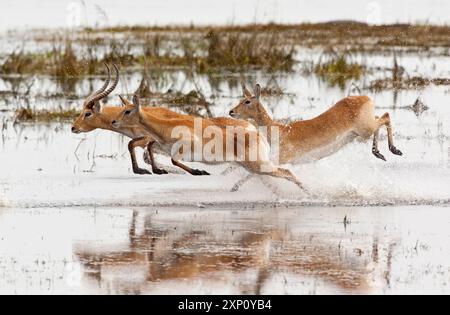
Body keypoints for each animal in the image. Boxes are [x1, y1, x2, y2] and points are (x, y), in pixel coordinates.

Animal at [110, 94, 306, 193]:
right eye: (122, 109)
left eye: (127, 111)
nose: (113, 121)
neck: (167, 126)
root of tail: (258, 135)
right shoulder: (159, 145)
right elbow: (151, 149)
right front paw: (158, 170)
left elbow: (173, 160)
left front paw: (200, 171)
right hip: (252, 166)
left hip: (258, 165)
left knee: (287, 172)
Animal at [230, 84, 402, 167]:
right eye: (240, 99)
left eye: (247, 101)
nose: (231, 111)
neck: (280, 131)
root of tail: (365, 97)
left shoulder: (282, 160)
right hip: (364, 130)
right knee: (381, 118)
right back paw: (379, 153)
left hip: (365, 130)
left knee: (386, 116)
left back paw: (394, 150)